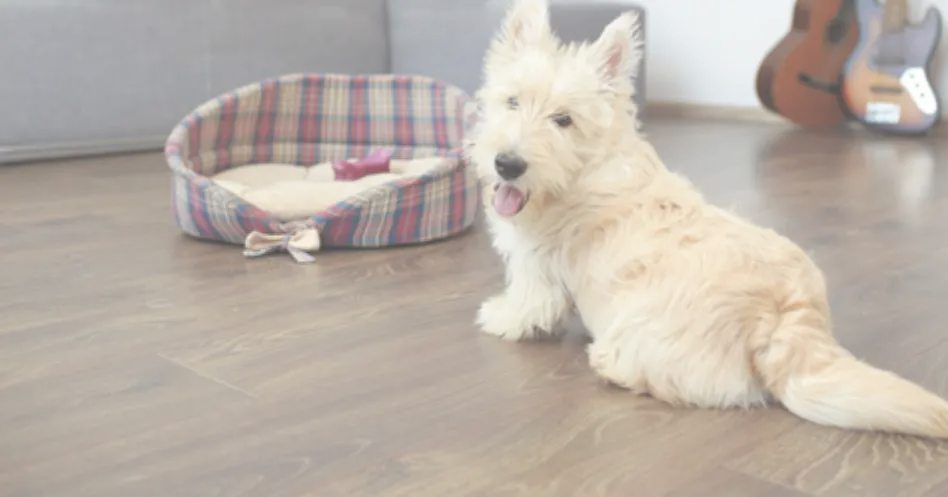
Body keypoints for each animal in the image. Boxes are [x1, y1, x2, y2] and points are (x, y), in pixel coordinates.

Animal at [466, 0, 948, 436]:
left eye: (563, 119)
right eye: (512, 101)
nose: (507, 164)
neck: (586, 169)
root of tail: (783, 315)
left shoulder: (536, 265)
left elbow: (527, 301)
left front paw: (498, 317)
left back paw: (609, 363)